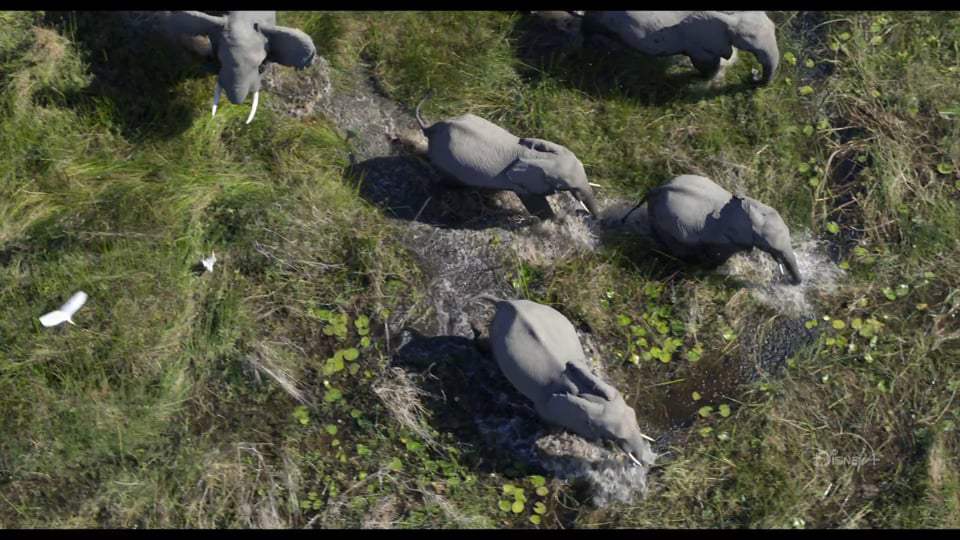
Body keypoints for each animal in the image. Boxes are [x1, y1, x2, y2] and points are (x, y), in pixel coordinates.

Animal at [415, 93, 600, 219]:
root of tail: (431, 128)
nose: (586, 215)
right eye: (565, 185)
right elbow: (538, 207)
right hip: (447, 163)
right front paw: (557, 220)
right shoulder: (524, 187)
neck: (535, 154)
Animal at [480, 296, 656, 467]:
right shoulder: (549, 407)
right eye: (614, 437)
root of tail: (506, 302)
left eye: (633, 413)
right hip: (495, 335)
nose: (648, 461)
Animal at [579, 11, 779, 85]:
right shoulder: (701, 42)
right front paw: (703, 78)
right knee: (588, 30)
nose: (753, 75)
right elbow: (706, 64)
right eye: (749, 43)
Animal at [622, 174, 802, 284]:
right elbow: (719, 257)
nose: (787, 281)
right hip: (664, 223)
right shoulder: (726, 240)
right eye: (770, 246)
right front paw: (712, 273)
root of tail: (656, 189)